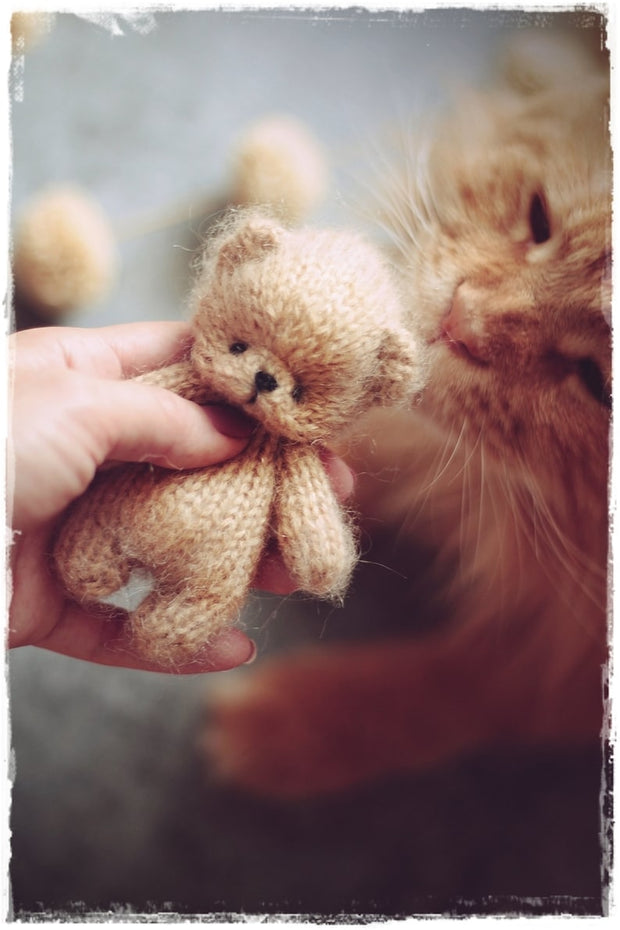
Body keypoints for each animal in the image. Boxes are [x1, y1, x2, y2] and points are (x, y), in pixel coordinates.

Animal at [205, 30, 612, 796]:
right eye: (538, 219)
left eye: (601, 382)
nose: (462, 320)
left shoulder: (561, 667)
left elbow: (449, 689)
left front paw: (290, 728)